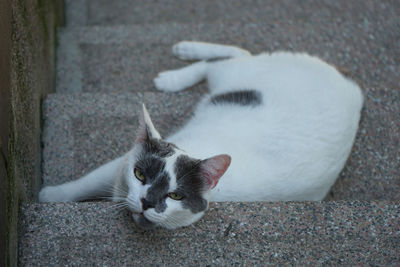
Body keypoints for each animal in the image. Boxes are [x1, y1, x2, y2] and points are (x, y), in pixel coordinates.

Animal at [39, 41, 362, 230]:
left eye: (176, 195)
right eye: (140, 175)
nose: (147, 202)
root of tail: (350, 84)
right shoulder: (121, 162)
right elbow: (85, 182)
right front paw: (52, 195)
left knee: (228, 60)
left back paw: (174, 75)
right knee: (232, 57)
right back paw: (183, 60)